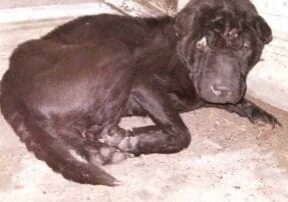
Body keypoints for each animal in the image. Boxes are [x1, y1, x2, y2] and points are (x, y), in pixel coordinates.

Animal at [0, 0, 280, 186]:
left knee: (71, 130)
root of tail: (10, 73)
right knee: (92, 127)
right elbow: (181, 131)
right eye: (202, 43)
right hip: (116, 51)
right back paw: (115, 142)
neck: (182, 57)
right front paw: (136, 140)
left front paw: (263, 116)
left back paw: (101, 152)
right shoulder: (143, 81)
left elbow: (240, 100)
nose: (223, 89)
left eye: (245, 46)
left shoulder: (207, 94)